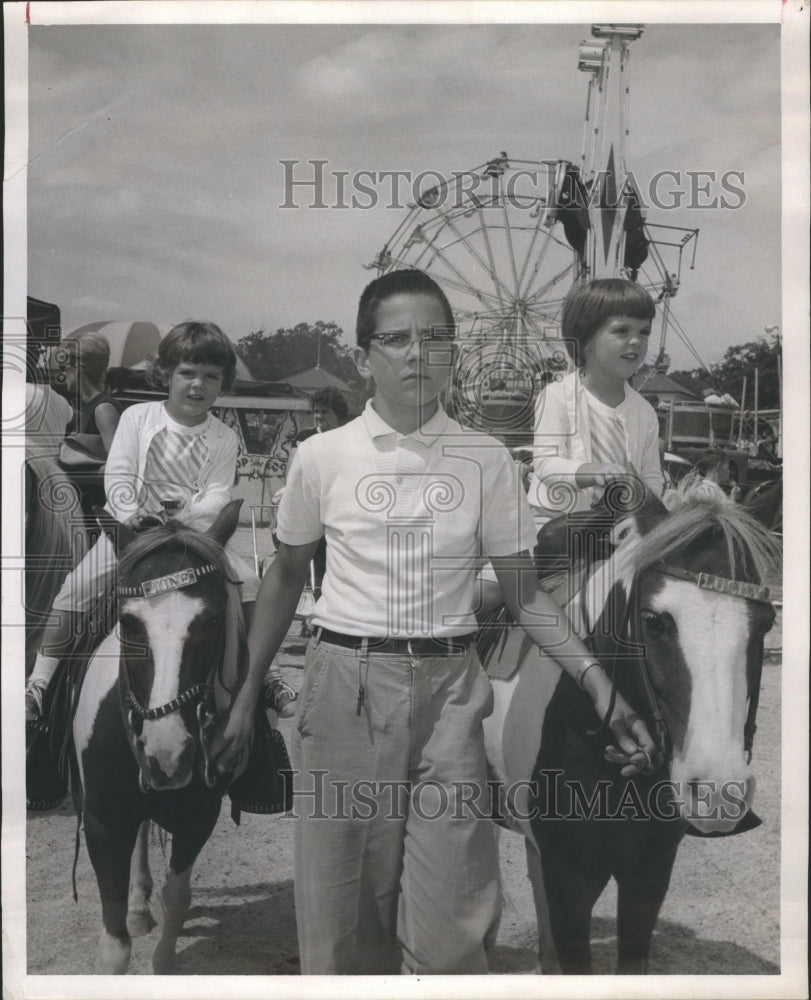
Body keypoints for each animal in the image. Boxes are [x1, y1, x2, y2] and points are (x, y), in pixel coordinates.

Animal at [71, 504, 246, 972]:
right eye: (128, 622)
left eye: (214, 620)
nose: (167, 754)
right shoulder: (102, 820)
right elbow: (113, 942)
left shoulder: (199, 816)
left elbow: (176, 895)